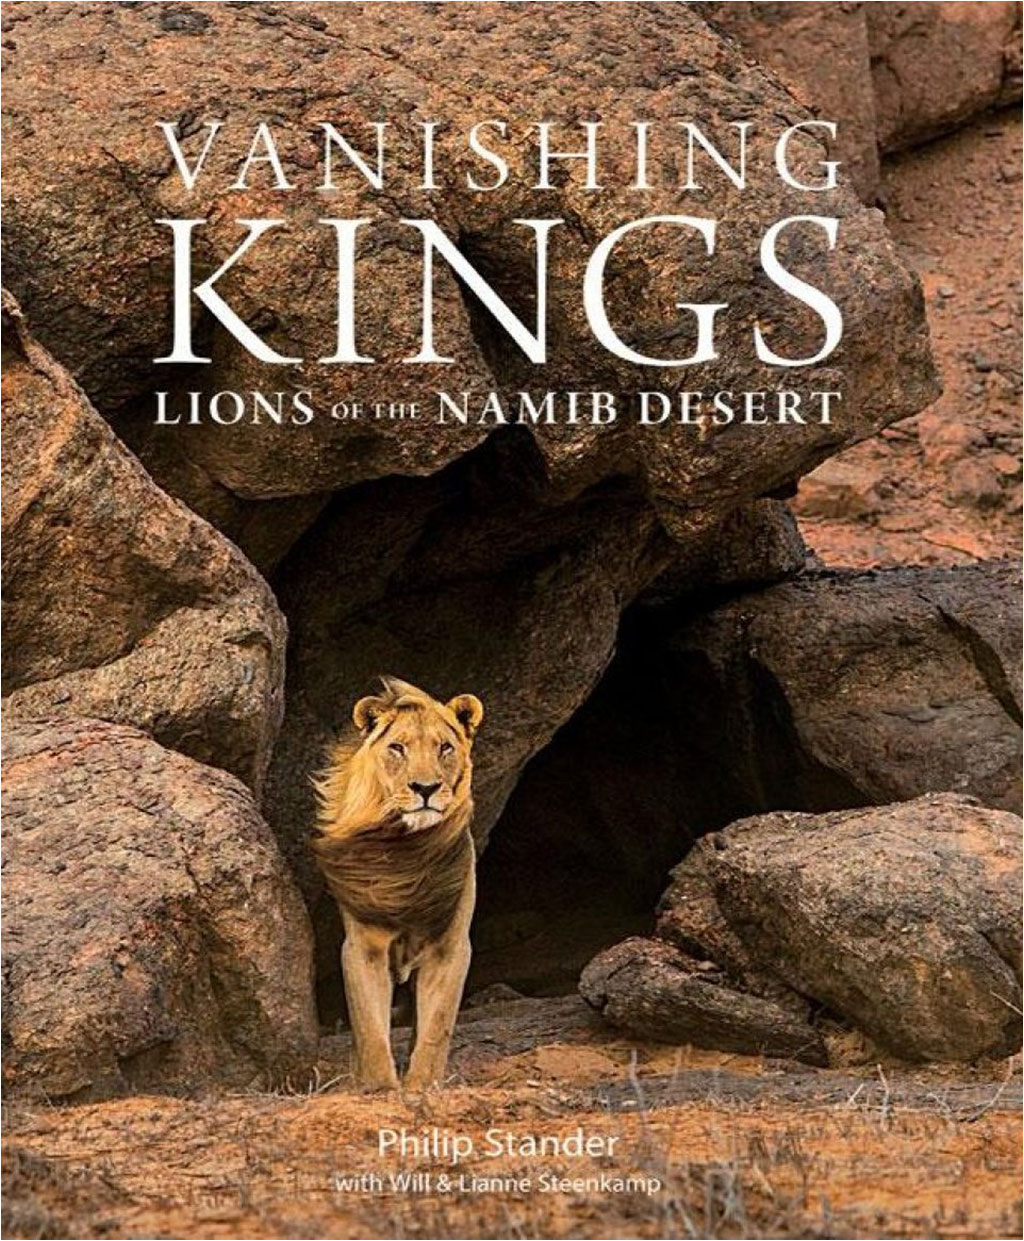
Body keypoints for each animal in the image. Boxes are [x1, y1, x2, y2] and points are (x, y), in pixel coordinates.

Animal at [312, 676, 484, 1090]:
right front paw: (379, 1087)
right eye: (397, 747)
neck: (409, 853)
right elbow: (370, 1027)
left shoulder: (450, 947)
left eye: (444, 747)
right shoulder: (364, 946)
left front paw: (422, 1085)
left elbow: (436, 1027)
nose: (426, 788)